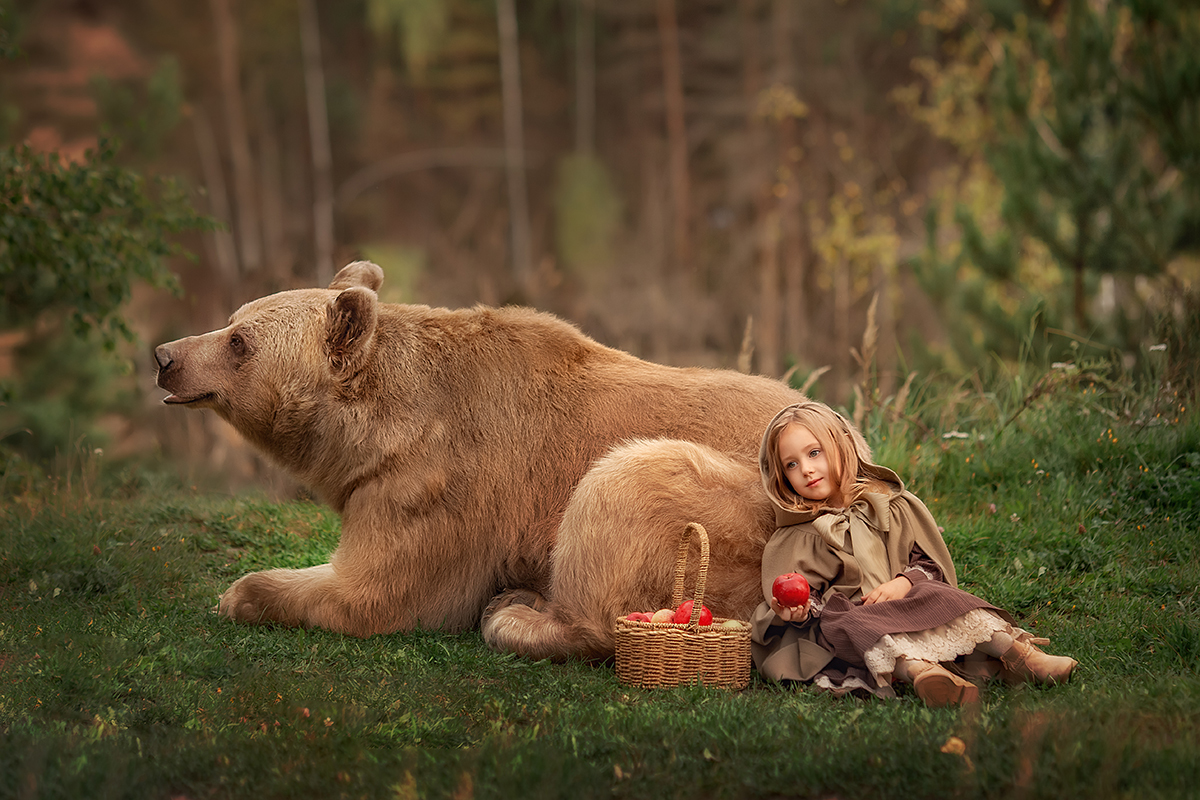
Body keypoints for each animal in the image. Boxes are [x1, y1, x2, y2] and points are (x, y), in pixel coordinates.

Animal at [154, 260, 801, 662]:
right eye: (233, 320)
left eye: (239, 342)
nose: (165, 356)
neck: (379, 431)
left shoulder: (440, 483)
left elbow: (377, 591)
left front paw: (238, 594)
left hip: (740, 513)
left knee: (624, 491)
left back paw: (516, 613)